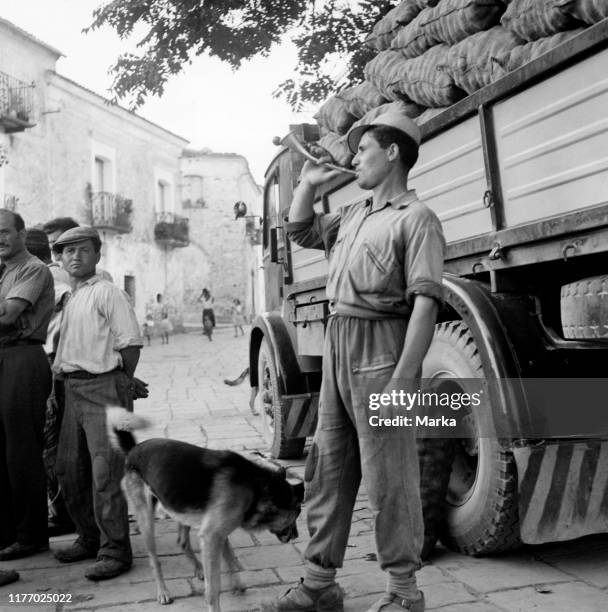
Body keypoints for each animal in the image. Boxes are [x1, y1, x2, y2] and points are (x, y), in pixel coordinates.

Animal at [106, 406, 304, 612]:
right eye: (297, 513)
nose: (297, 536)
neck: (255, 488)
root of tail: (132, 450)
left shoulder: (217, 534)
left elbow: (229, 557)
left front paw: (236, 583)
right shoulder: (211, 536)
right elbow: (213, 587)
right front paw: (214, 603)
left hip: (182, 509)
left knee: (182, 542)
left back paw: (199, 568)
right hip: (146, 520)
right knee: (154, 559)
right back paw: (163, 591)